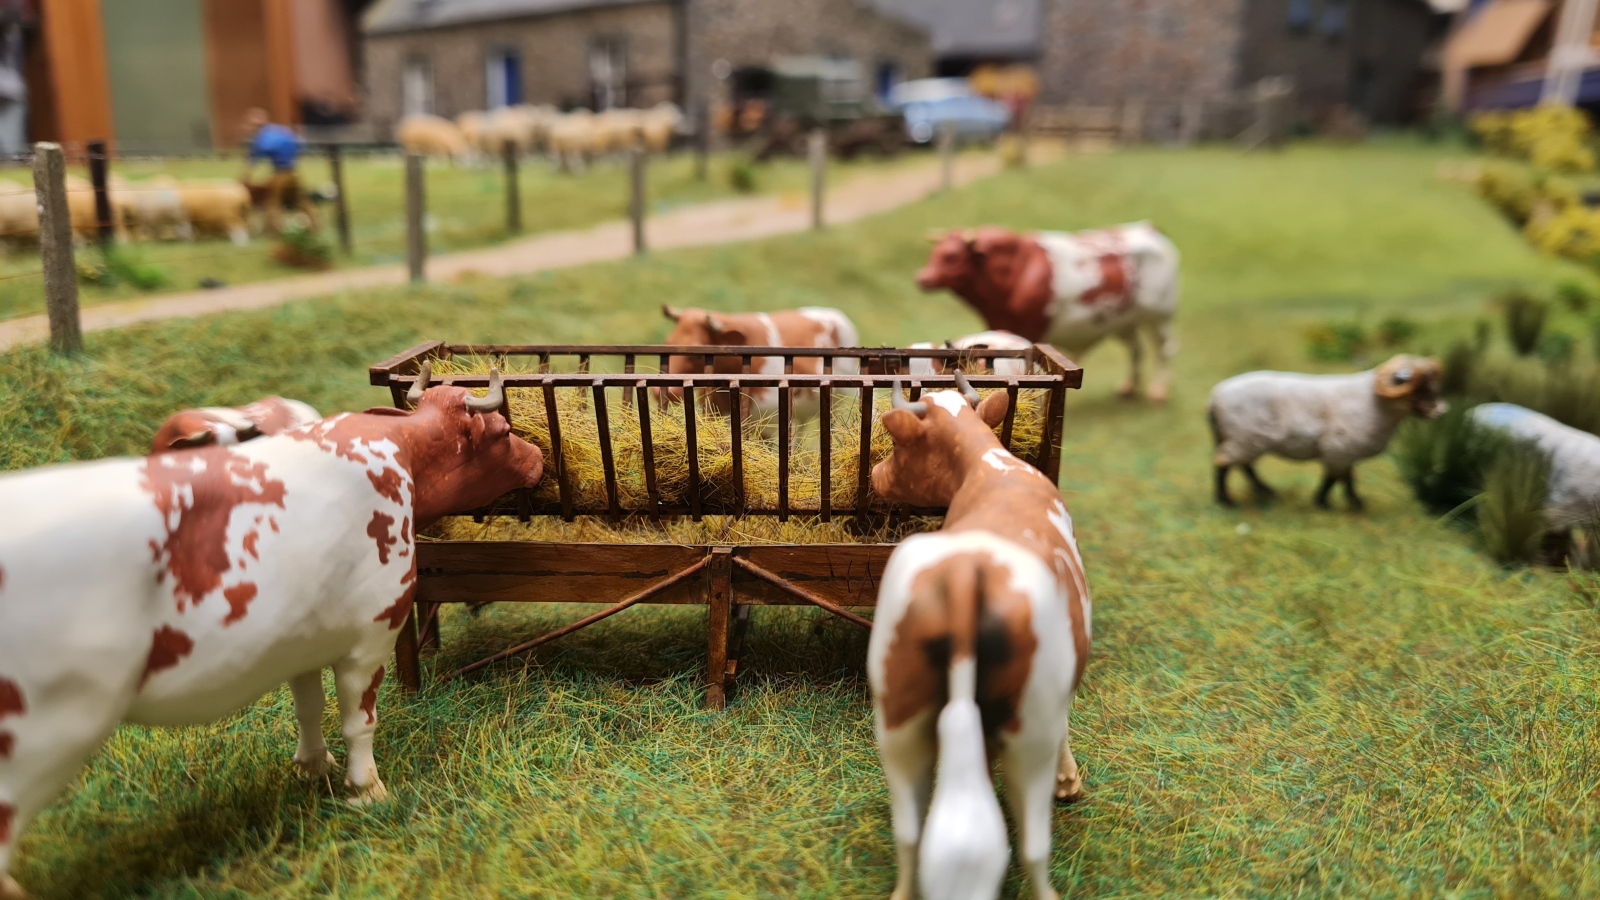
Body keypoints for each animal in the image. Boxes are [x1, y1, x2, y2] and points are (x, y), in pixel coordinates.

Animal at [868, 371, 1091, 900]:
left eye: (897, 443)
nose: (872, 475)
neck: (991, 467)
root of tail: (968, 570)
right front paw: (1069, 779)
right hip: (1030, 729)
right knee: (1033, 846)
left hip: (897, 713)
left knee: (910, 834)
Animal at [917, 223, 1180, 401]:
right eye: (934, 254)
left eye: (952, 256)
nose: (922, 278)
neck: (1016, 271)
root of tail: (1148, 228)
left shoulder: (1031, 329)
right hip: (1124, 321)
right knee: (1136, 348)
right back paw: (1129, 387)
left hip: (1160, 316)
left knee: (1165, 349)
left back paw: (1158, 392)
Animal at [1208, 354, 1446, 509]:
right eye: (1419, 387)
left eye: (1433, 384)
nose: (1441, 410)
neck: (1374, 404)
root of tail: (1215, 398)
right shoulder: (1339, 447)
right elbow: (1336, 477)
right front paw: (1329, 503)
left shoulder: (1346, 451)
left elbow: (1343, 477)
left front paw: (1347, 503)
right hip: (1244, 437)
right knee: (1224, 464)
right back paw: (1225, 500)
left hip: (1246, 439)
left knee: (1244, 465)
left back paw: (1265, 491)